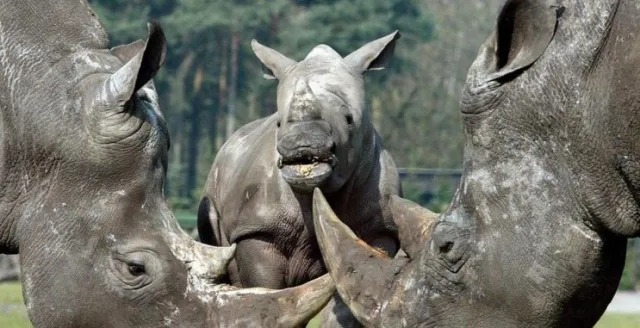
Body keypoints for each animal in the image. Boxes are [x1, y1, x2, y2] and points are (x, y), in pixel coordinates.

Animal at [198, 31, 402, 326]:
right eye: (279, 123)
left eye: (349, 119)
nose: (302, 144)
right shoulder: (257, 229)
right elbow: (267, 292)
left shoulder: (379, 228)